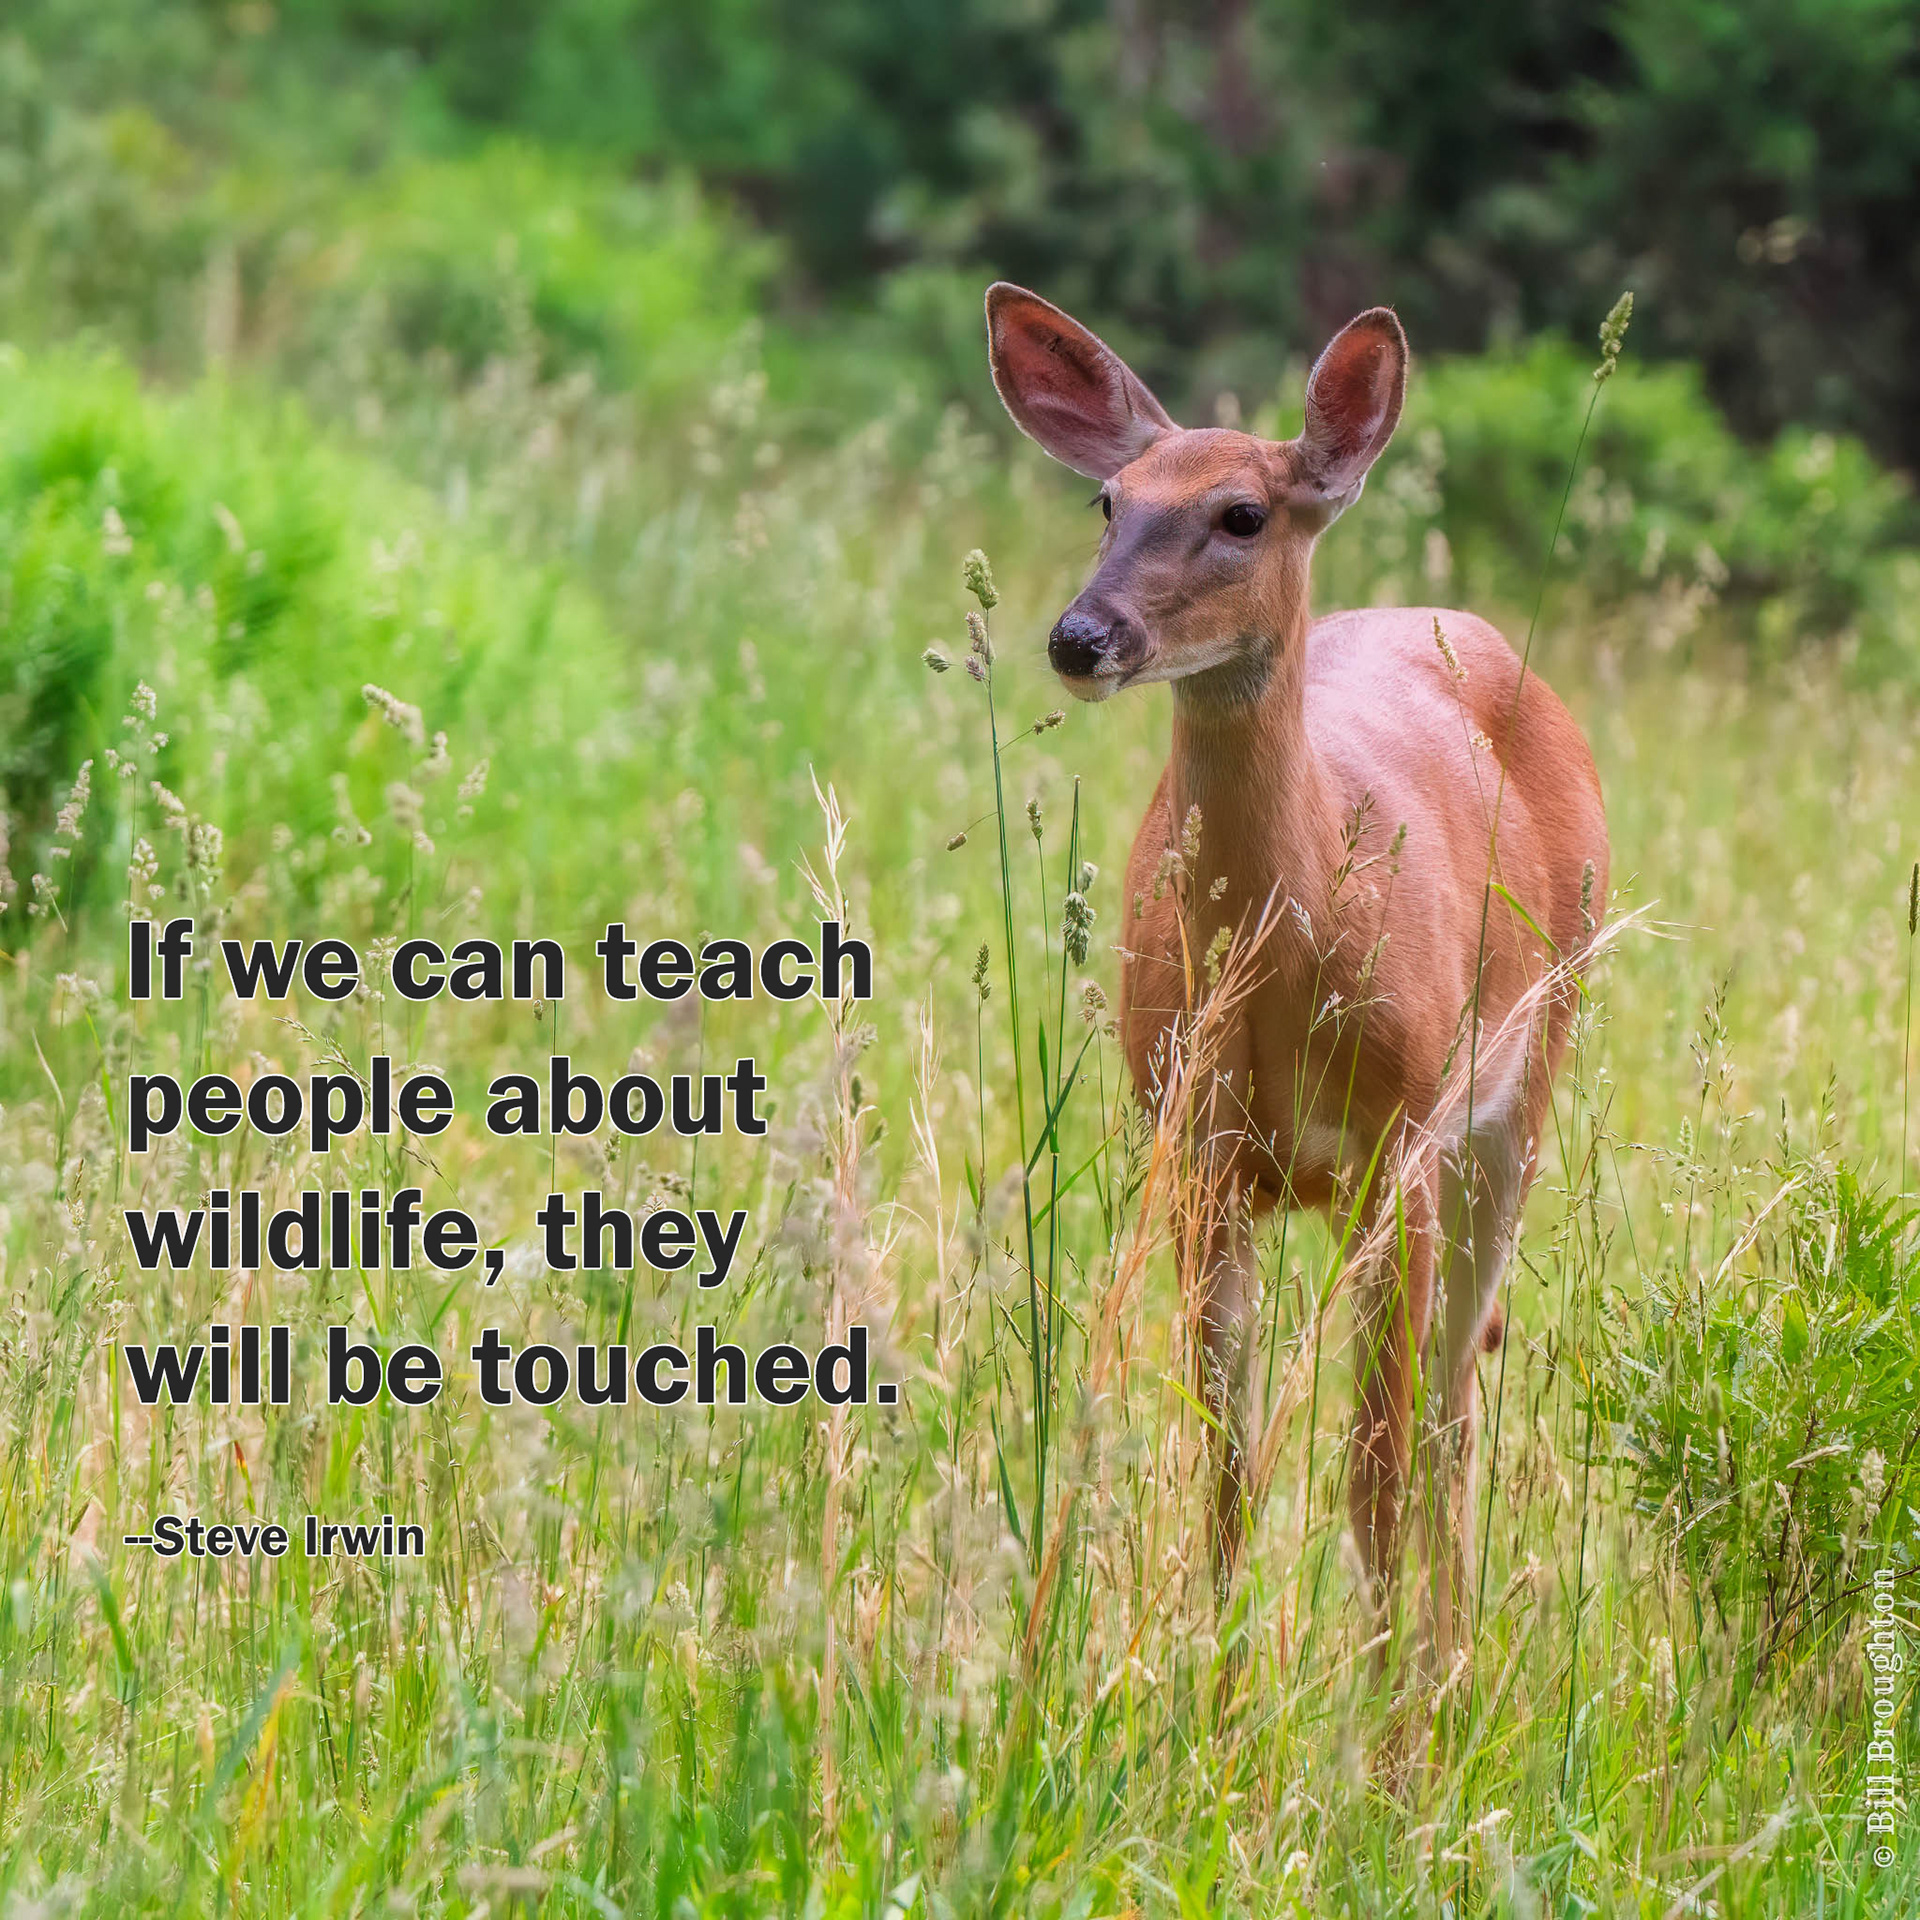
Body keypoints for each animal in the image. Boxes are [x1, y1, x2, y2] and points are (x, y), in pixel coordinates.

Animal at [985, 283, 1609, 1664]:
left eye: (1242, 514)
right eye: (1108, 500)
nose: (1080, 636)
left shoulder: (1397, 1147)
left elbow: (1373, 1470)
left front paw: (1386, 1715)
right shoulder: (1197, 1151)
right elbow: (1228, 1464)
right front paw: (1209, 1692)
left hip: (1528, 1075)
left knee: (1452, 1400)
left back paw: (1448, 1664)